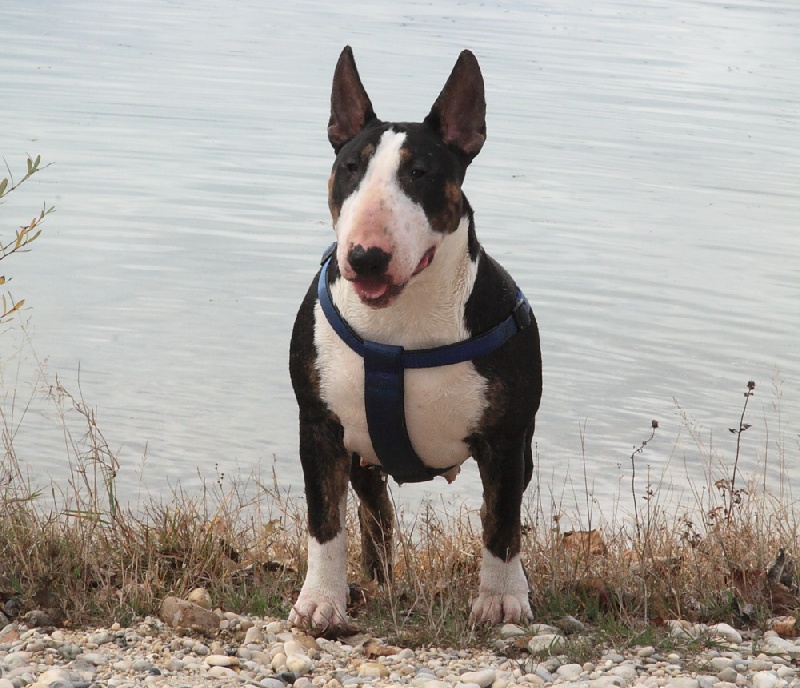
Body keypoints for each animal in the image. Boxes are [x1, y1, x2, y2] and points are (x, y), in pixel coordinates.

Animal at [288, 46, 542, 629]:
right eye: (349, 168)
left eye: (420, 172)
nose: (365, 257)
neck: (400, 328)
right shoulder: (319, 426)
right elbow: (324, 520)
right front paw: (321, 601)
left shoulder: (506, 438)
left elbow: (501, 520)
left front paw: (501, 598)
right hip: (362, 457)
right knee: (374, 510)